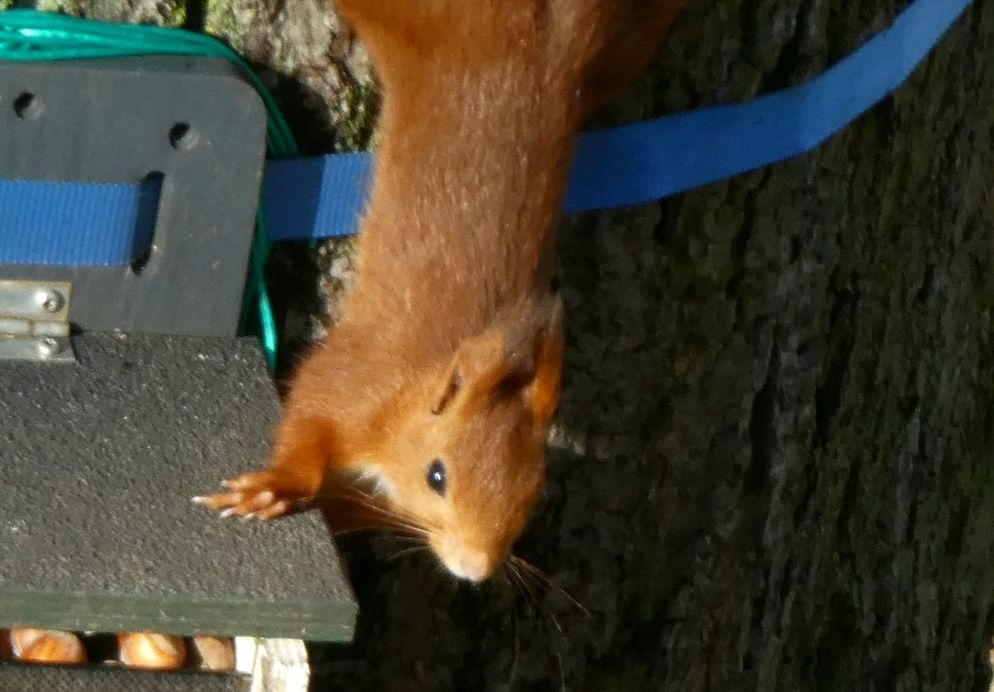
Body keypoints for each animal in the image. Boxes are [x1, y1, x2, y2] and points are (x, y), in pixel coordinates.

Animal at [197, 0, 679, 582]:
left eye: (531, 495)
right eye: (437, 476)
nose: (473, 568)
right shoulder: (357, 382)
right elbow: (308, 415)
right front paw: (277, 487)